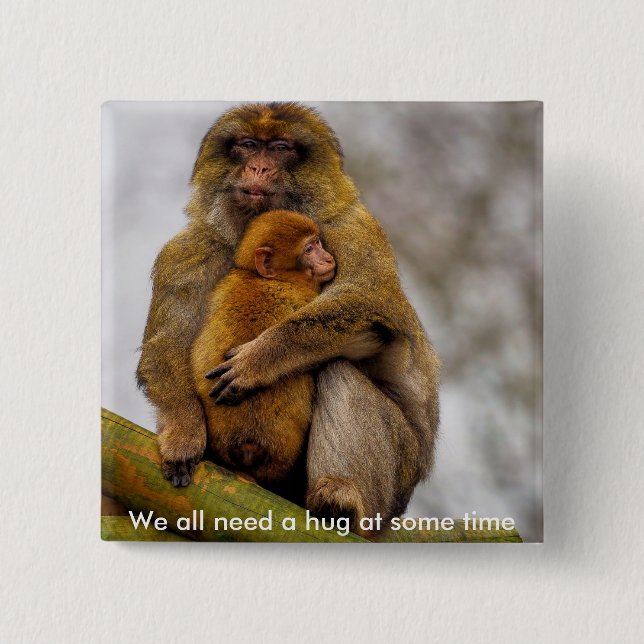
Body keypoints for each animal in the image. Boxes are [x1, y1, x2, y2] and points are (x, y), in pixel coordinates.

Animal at [190, 210, 336, 499]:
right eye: (309, 249)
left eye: (318, 243)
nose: (327, 257)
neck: (271, 279)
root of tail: (248, 443)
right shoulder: (303, 296)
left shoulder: (227, 282)